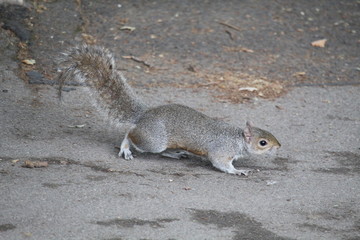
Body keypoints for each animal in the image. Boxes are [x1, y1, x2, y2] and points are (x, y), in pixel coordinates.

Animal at [57, 45, 282, 175]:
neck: (236, 138)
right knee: (131, 135)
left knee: (161, 150)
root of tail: (144, 115)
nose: (279, 146)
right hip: (154, 140)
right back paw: (126, 148)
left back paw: (174, 154)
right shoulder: (221, 151)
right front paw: (238, 171)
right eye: (263, 142)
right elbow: (220, 164)